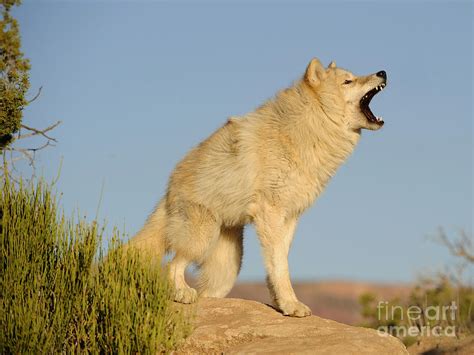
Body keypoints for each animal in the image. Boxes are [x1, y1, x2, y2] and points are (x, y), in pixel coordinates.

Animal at [128, 57, 386, 318]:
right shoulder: (270, 212)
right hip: (200, 239)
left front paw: (281, 303)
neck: (307, 127)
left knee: (206, 292)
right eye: (348, 81)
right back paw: (182, 293)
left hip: (227, 269)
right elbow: (281, 266)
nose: (383, 72)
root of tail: (168, 190)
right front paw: (291, 305)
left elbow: (278, 263)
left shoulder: (289, 217)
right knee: (172, 265)